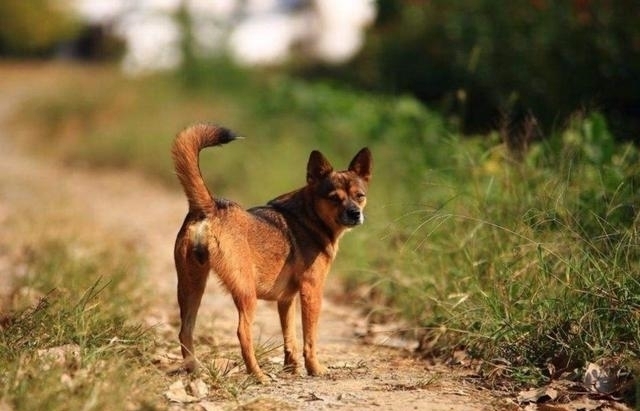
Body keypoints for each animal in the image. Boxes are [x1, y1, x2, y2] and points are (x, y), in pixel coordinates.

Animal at [171, 123, 370, 384]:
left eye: (360, 196)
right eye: (334, 198)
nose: (355, 213)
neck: (309, 215)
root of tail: (210, 206)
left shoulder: (286, 300)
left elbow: (290, 337)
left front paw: (291, 368)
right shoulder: (312, 290)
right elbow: (309, 338)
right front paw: (315, 369)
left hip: (191, 285)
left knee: (185, 330)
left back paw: (194, 370)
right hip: (246, 293)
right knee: (242, 332)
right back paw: (257, 374)